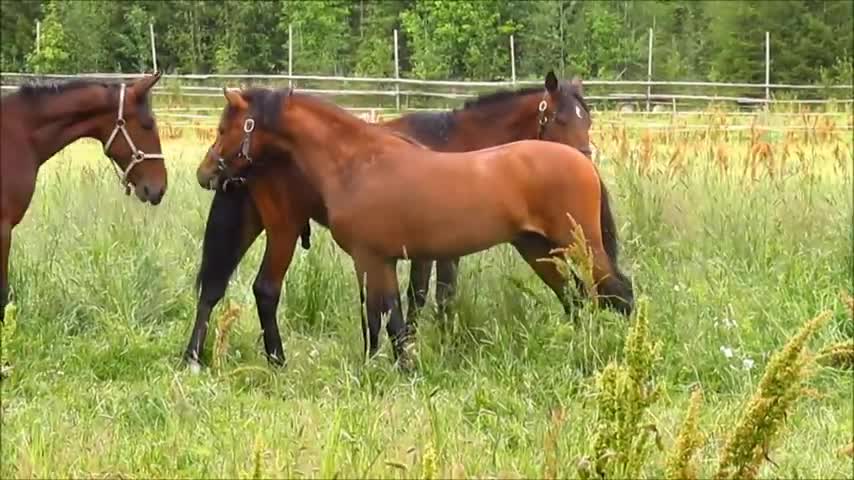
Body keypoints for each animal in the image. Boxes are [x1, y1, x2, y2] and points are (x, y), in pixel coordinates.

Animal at [196, 88, 636, 370]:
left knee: (618, 291)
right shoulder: (378, 261)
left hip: (576, 245)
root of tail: (581, 164)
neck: (357, 161)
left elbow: (392, 313)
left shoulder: (377, 258)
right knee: (577, 297)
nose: (205, 173)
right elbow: (383, 315)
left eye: (224, 129)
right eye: (559, 117)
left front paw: (401, 367)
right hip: (538, 249)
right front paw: (382, 364)